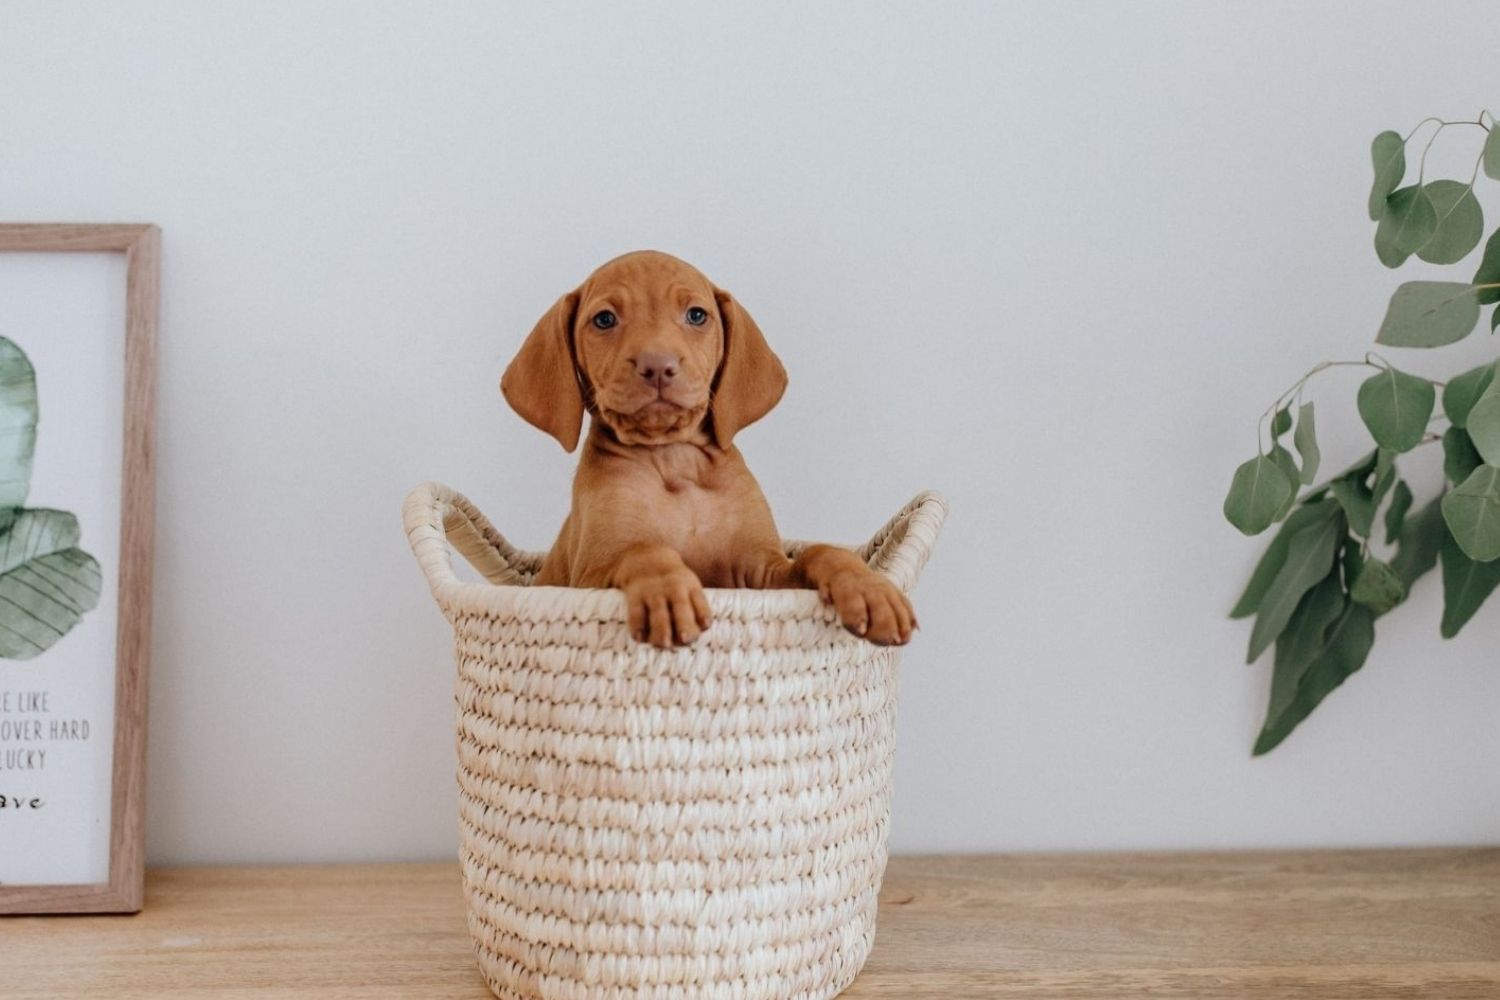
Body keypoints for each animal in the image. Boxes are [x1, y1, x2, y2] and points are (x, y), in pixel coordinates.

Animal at [501, 250, 912, 650]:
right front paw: (666, 592)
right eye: (604, 319)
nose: (657, 365)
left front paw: (867, 587)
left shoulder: (762, 568)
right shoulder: (588, 575)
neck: (673, 458)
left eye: (696, 315)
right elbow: (644, 551)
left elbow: (819, 552)